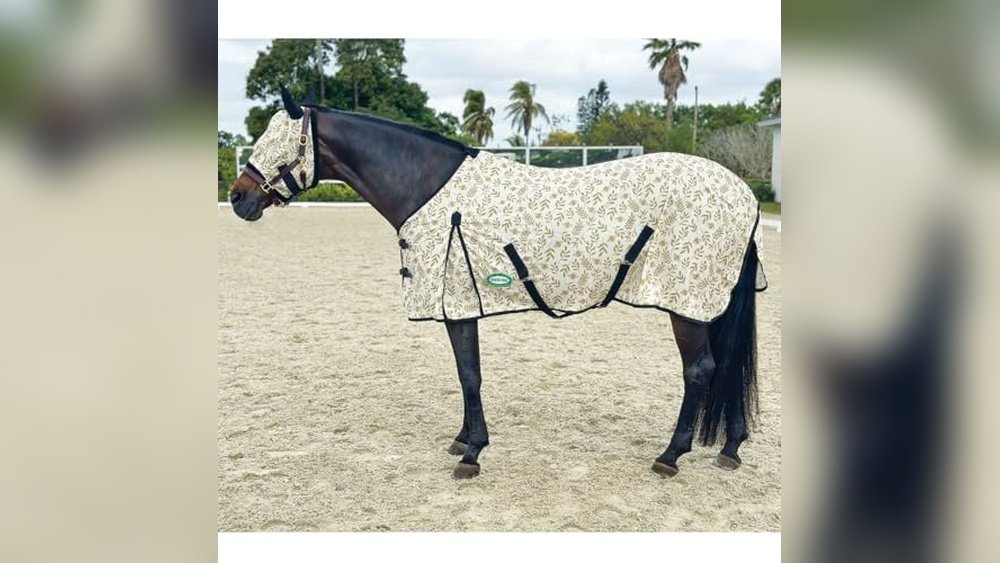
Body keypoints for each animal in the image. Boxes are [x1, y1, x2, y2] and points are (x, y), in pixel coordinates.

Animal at [228, 86, 766, 479]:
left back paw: (671, 456)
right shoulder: (458, 306)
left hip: (687, 305)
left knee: (700, 371)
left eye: (278, 143)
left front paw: (473, 454)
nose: (238, 198)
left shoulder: (458, 303)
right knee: (727, 367)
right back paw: (731, 447)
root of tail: (745, 193)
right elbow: (465, 373)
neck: (426, 186)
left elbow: (470, 374)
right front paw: (463, 440)